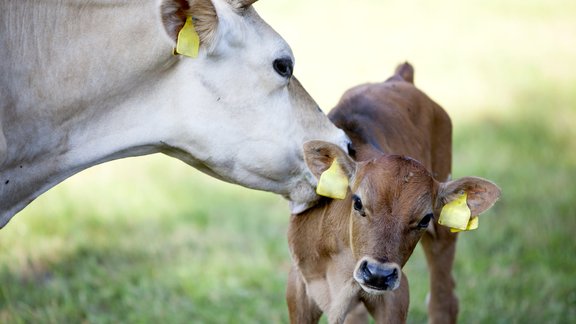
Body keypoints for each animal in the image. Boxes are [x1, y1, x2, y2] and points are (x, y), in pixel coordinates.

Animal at [286, 62, 500, 322]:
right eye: (358, 203)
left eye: (425, 218)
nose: (378, 274)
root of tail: (400, 78)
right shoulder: (298, 284)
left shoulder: (396, 294)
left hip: (444, 234)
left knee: (443, 300)